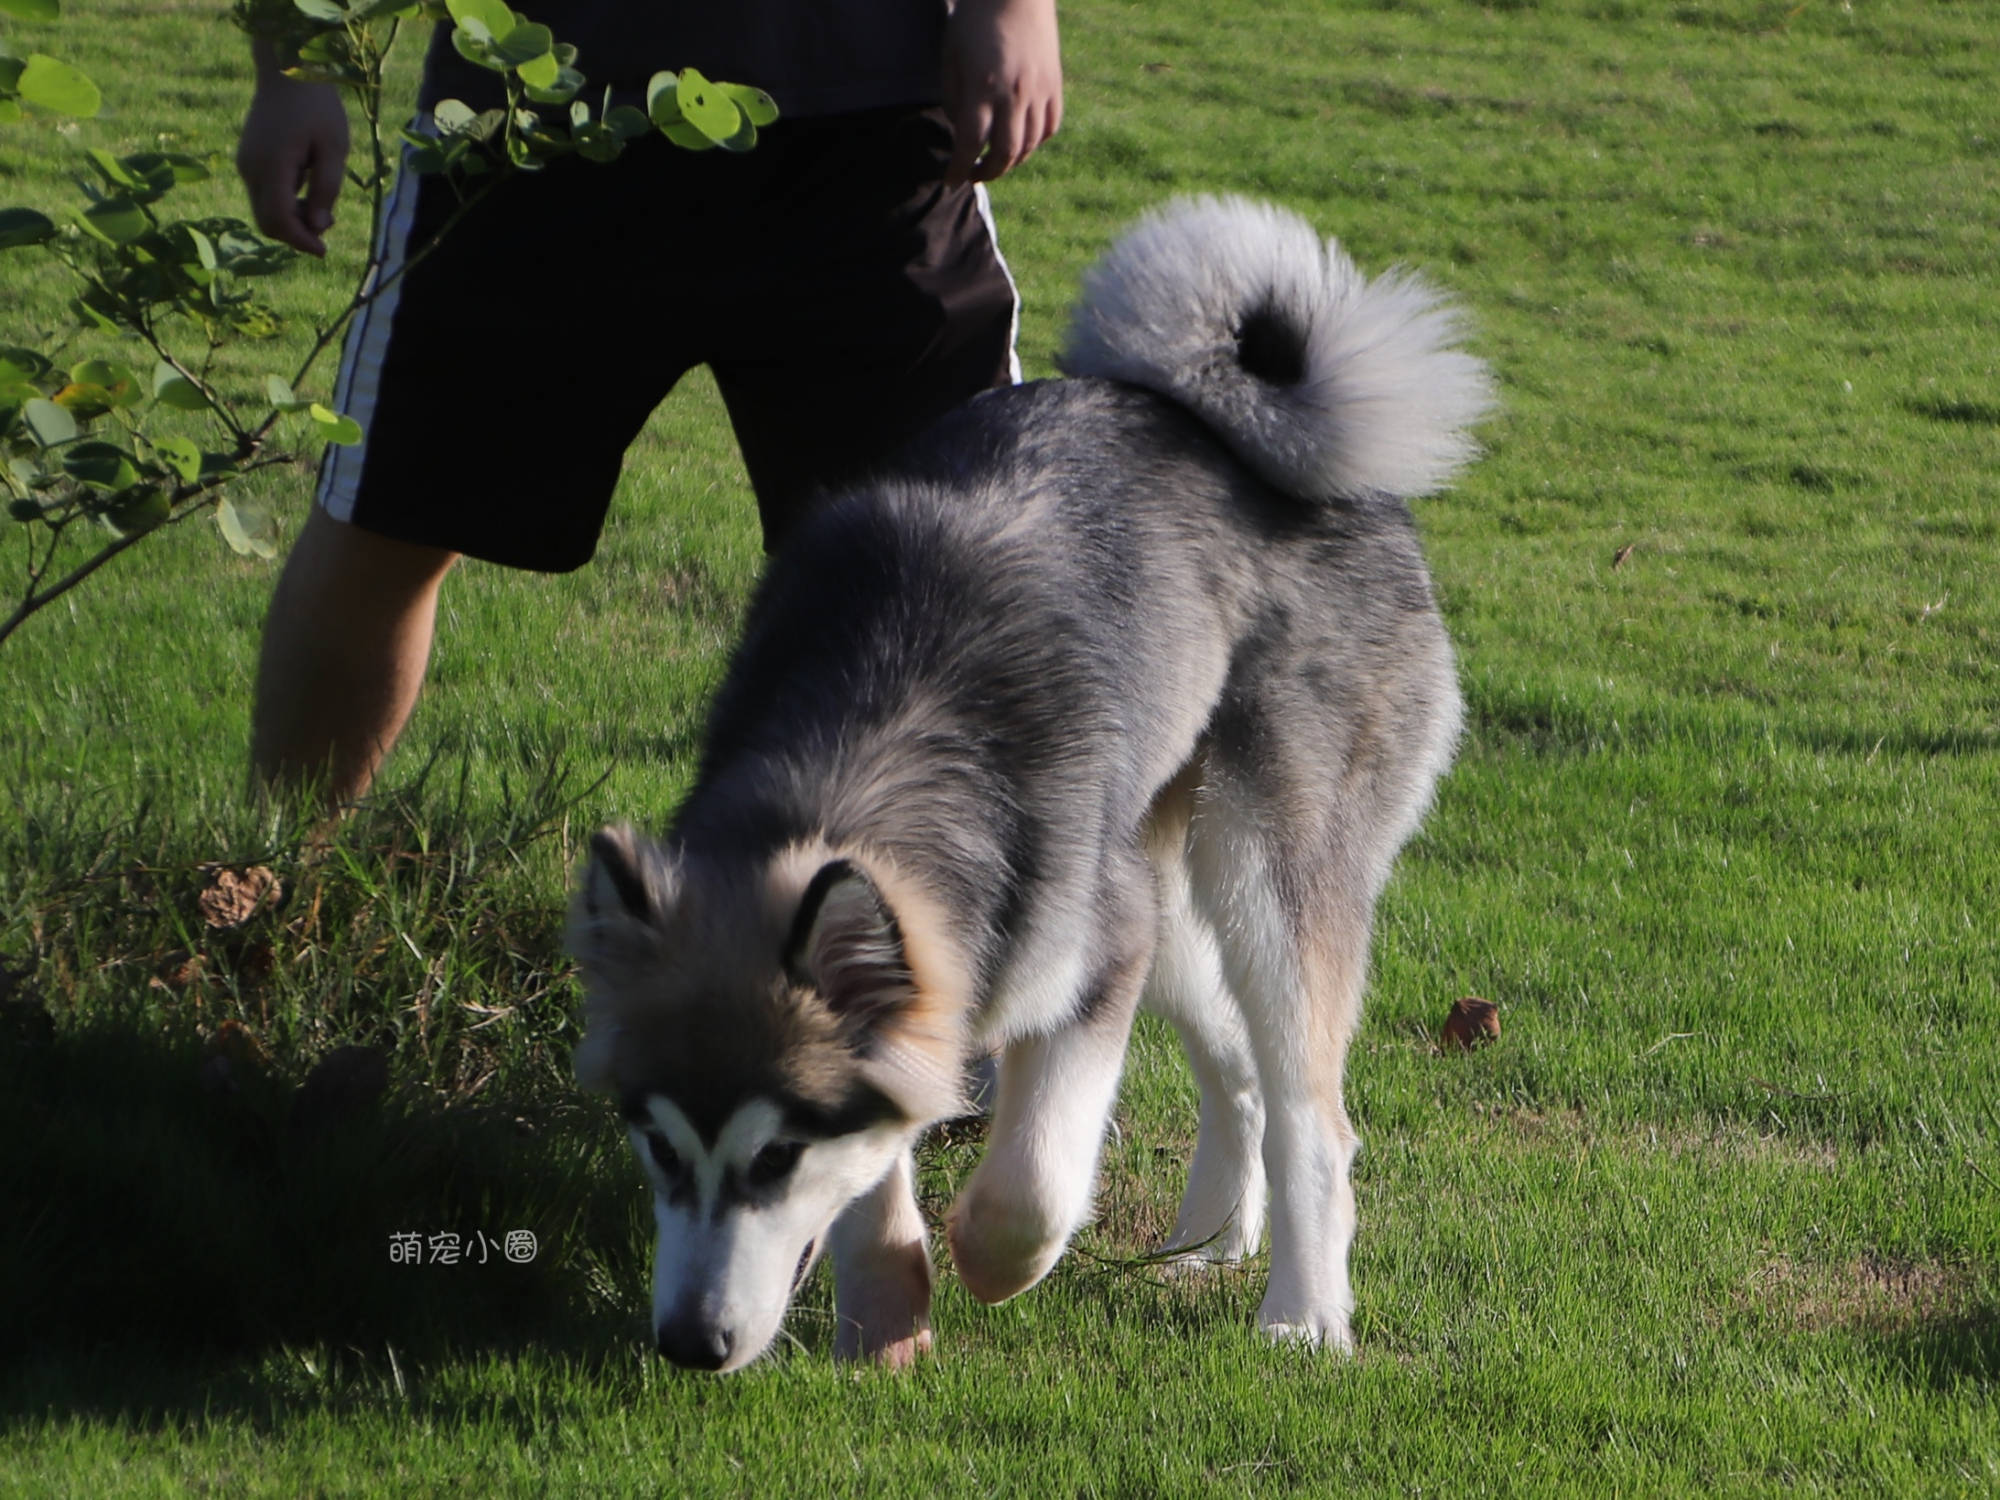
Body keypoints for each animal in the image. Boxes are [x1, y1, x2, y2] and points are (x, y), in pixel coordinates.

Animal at [564, 197, 1488, 1376]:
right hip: (1161, 888)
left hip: (1253, 879)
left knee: (1311, 1115)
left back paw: (1302, 1313)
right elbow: (882, 1175)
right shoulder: (959, 986)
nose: (689, 1343)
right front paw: (881, 1323)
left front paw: (987, 1264)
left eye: (776, 1158)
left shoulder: (1091, 963)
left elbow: (1033, 1184)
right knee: (1236, 1068)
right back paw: (1207, 1241)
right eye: (658, 1147)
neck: (870, 739)